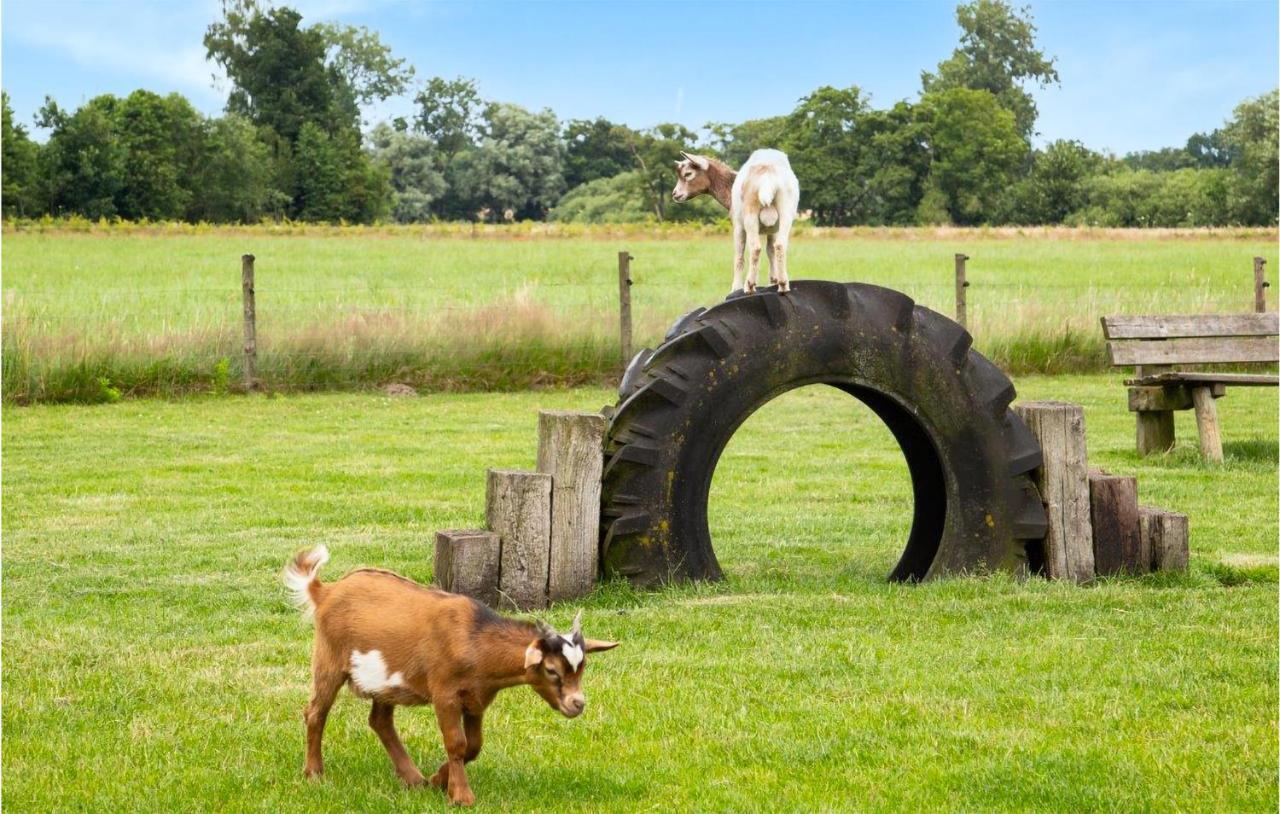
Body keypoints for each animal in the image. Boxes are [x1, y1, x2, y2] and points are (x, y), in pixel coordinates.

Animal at [281, 547, 619, 808]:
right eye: (551, 670)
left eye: (582, 667)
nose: (577, 704)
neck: (474, 639)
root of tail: (326, 591)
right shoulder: (444, 694)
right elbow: (456, 743)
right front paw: (461, 796)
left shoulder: (476, 699)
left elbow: (474, 745)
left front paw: (438, 780)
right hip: (329, 659)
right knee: (316, 712)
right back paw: (314, 774)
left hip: (385, 681)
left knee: (380, 721)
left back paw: (414, 779)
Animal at [670, 147, 798, 294]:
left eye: (688, 174)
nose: (675, 194)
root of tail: (767, 177)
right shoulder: (773, 230)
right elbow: (771, 251)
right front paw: (774, 280)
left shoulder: (738, 226)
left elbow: (739, 256)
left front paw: (735, 288)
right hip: (785, 211)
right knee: (780, 245)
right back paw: (783, 284)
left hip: (750, 214)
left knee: (755, 248)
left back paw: (749, 285)